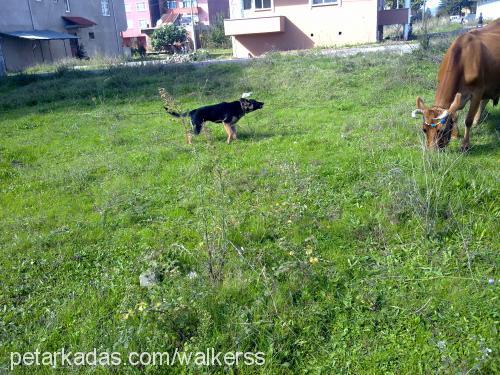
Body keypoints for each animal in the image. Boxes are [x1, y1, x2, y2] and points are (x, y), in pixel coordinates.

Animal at [410, 19, 500, 151]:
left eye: (441, 130)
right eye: (424, 129)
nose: (432, 151)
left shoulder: (478, 92)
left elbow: (468, 120)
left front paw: (465, 144)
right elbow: (454, 113)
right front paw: (455, 134)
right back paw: (477, 121)